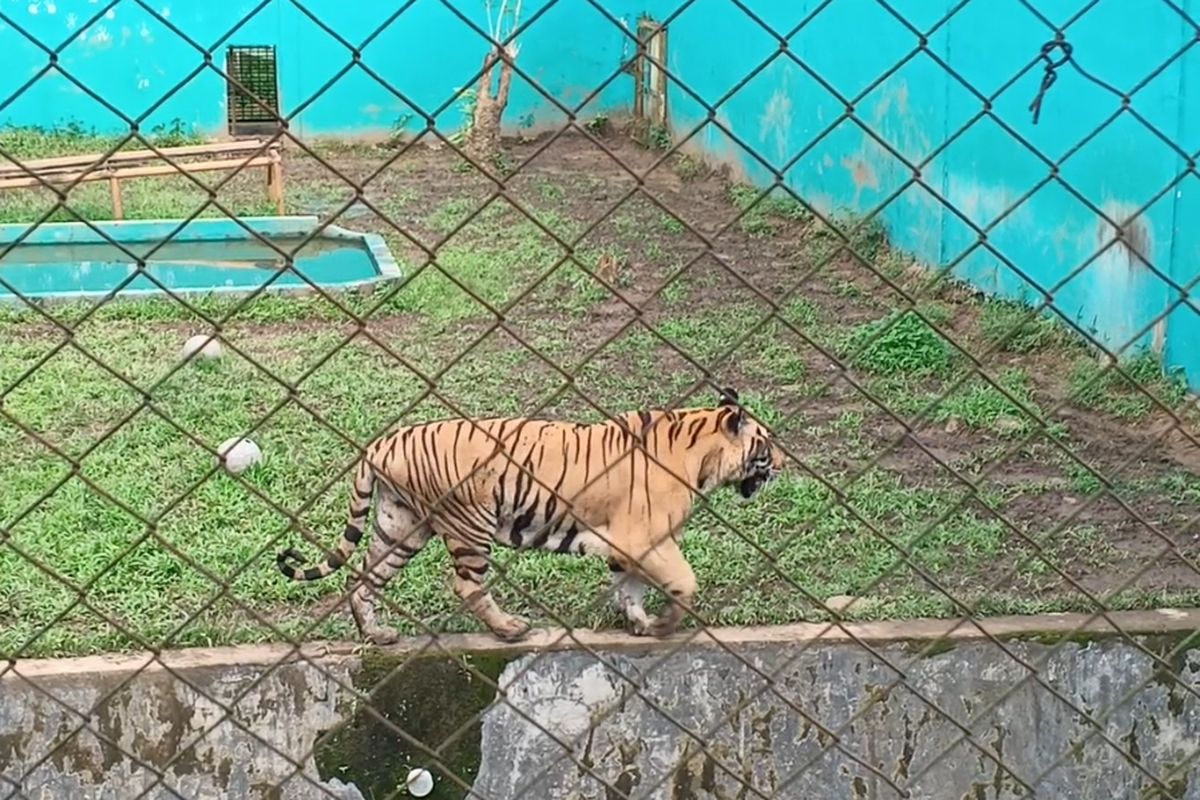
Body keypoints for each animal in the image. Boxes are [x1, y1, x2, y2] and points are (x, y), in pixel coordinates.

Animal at [279, 388, 787, 642]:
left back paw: (378, 634)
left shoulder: (627, 547)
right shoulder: (645, 539)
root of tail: (383, 442)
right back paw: (509, 630)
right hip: (470, 526)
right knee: (465, 585)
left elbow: (629, 588)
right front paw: (664, 625)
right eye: (766, 444)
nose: (783, 463)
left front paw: (640, 624)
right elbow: (685, 581)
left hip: (400, 527)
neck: (700, 453)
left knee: (361, 578)